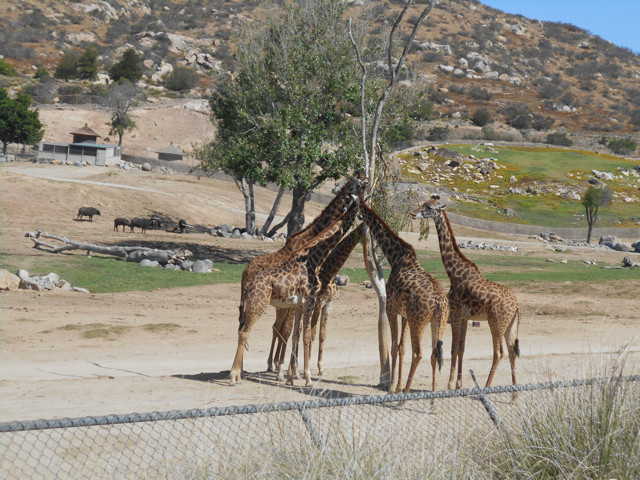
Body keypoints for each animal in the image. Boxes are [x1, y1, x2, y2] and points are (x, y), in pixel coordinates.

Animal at [236, 179, 359, 375]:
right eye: (355, 186)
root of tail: (245, 271)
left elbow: (297, 330)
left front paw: (292, 369)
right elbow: (292, 330)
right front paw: (289, 369)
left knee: (263, 326)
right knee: (258, 327)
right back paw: (250, 368)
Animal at [354, 194, 449, 394]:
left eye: (354, 204)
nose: (355, 216)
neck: (395, 256)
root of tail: (438, 302)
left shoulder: (391, 307)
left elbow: (394, 347)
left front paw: (392, 388)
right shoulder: (405, 314)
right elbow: (402, 347)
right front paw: (396, 386)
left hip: (418, 321)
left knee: (419, 353)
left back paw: (405, 393)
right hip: (439, 322)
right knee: (434, 354)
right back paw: (432, 398)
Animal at [411, 195, 521, 390]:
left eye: (429, 207)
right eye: (423, 203)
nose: (413, 213)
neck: (453, 272)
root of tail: (516, 306)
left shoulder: (455, 314)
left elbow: (453, 348)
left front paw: (450, 384)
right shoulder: (464, 317)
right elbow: (461, 349)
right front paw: (458, 384)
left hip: (496, 322)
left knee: (499, 352)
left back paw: (486, 386)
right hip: (511, 325)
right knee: (511, 351)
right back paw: (514, 392)